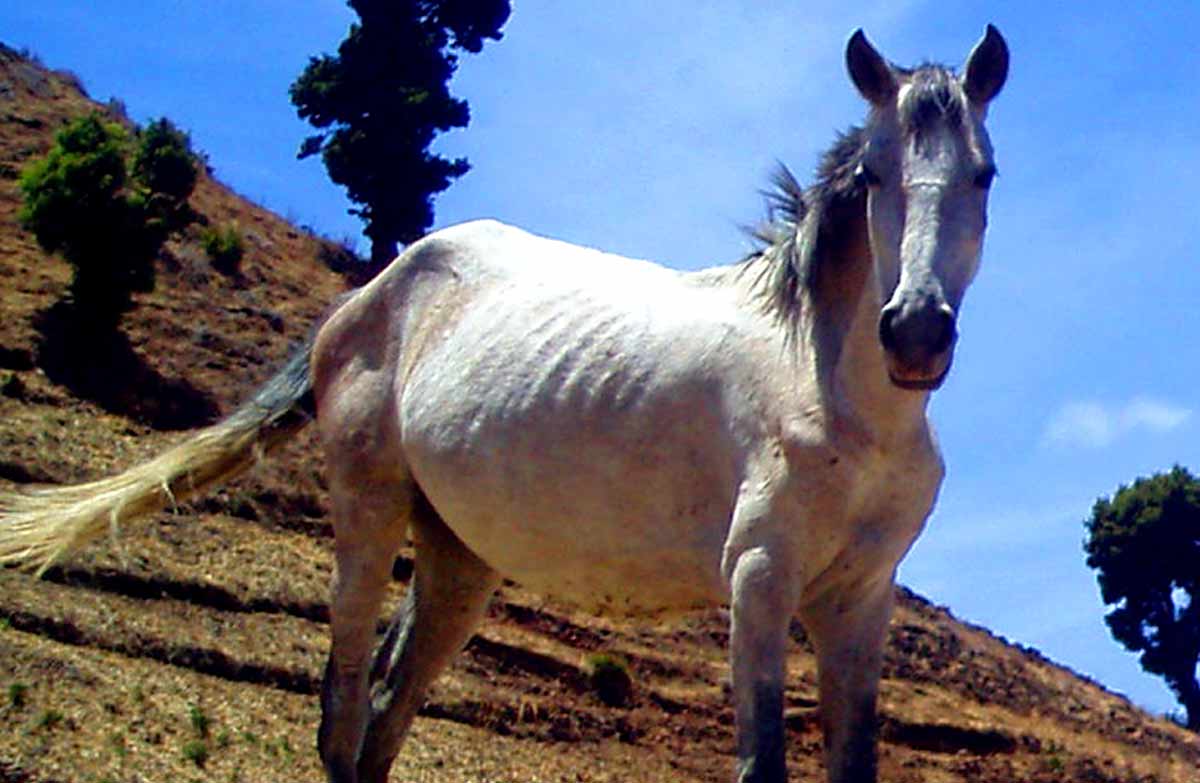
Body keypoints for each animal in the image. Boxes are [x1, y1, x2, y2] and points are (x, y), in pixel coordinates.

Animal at [0, 26, 1007, 783]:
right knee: (340, 709)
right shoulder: (759, 580)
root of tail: (368, 297)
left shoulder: (856, 602)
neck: (835, 395)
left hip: (458, 558)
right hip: (367, 513)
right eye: (874, 174)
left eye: (983, 174)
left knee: (384, 715)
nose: (915, 332)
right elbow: (761, 765)